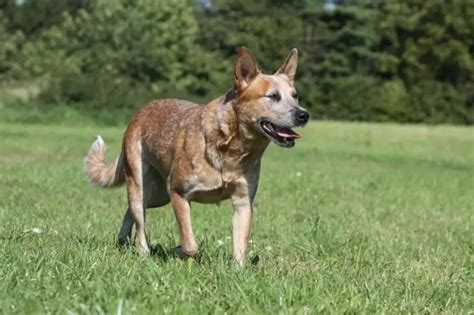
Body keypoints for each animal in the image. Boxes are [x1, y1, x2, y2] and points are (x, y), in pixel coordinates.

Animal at [83, 46, 310, 264]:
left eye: (295, 95)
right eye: (272, 96)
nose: (304, 115)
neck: (231, 149)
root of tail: (139, 112)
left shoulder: (243, 202)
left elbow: (240, 247)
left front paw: (238, 271)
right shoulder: (178, 193)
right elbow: (190, 243)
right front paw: (179, 251)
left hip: (158, 195)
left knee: (130, 210)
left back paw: (122, 239)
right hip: (142, 184)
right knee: (140, 221)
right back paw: (143, 252)